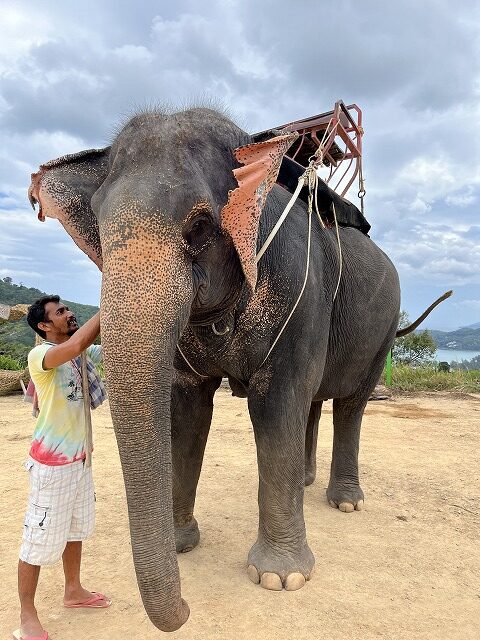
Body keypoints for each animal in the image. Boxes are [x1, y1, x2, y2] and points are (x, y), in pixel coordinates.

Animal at [27, 109, 450, 632]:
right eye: (101, 232)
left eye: (200, 226)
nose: (187, 609)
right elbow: (187, 412)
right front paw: (183, 545)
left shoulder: (299, 292)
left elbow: (276, 404)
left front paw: (281, 578)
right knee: (312, 402)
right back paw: (304, 482)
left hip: (382, 332)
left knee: (350, 403)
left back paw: (345, 501)